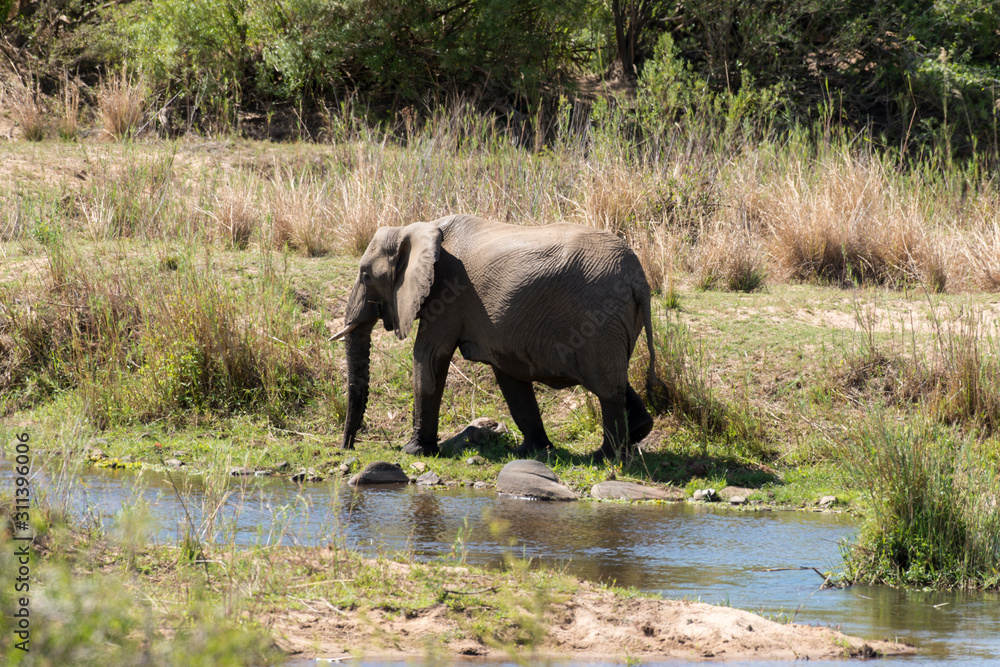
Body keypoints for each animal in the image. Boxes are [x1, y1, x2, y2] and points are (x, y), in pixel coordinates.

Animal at [331, 214, 662, 461]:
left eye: (365, 276)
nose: (347, 447)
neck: (417, 228)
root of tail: (639, 279)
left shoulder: (446, 295)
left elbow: (429, 357)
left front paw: (413, 451)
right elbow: (509, 375)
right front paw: (533, 451)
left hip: (599, 318)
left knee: (605, 386)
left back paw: (605, 456)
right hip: (615, 322)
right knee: (612, 378)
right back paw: (636, 433)